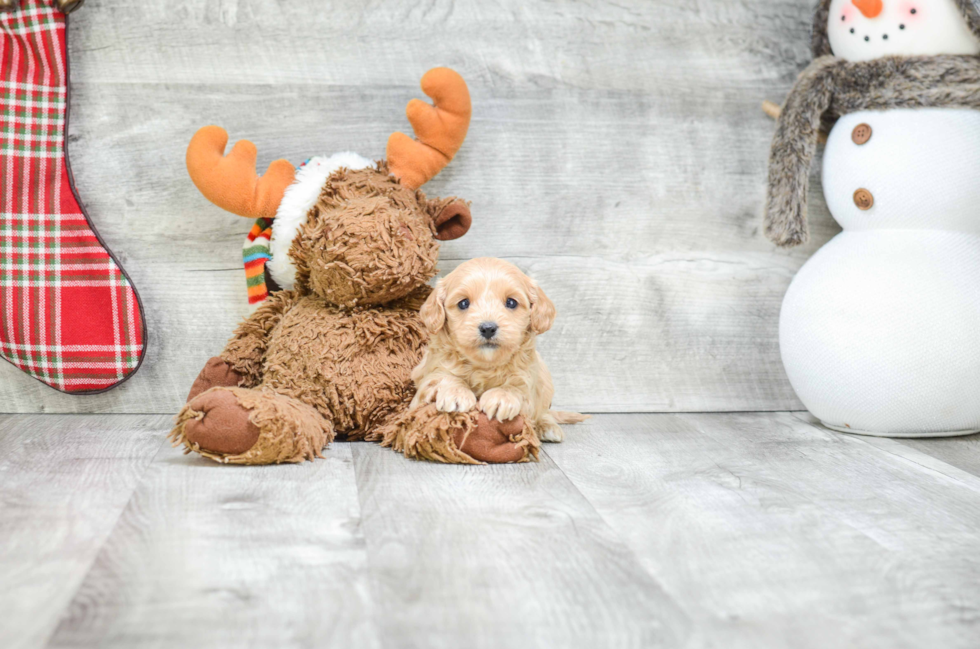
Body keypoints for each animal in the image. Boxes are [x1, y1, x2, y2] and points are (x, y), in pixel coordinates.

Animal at [410, 256, 584, 442]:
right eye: (463, 303)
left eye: (511, 302)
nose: (488, 328)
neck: (485, 364)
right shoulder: (427, 377)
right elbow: (442, 377)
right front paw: (455, 392)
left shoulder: (526, 377)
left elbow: (517, 388)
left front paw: (502, 397)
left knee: (543, 410)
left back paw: (548, 426)